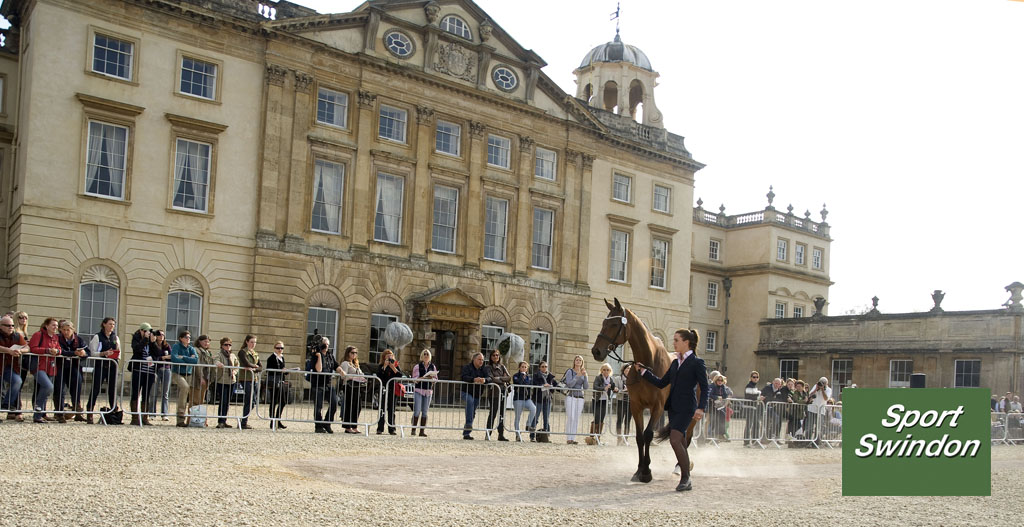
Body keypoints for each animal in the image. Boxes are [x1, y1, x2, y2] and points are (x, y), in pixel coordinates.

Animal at [589, 296, 700, 482]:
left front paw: (647, 471)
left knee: (687, 437)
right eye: (604, 322)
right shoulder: (636, 406)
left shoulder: (657, 407)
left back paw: (681, 468)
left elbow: (648, 434)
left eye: (614, 324)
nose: (596, 351)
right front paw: (639, 470)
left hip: (692, 415)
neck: (649, 362)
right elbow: (640, 437)